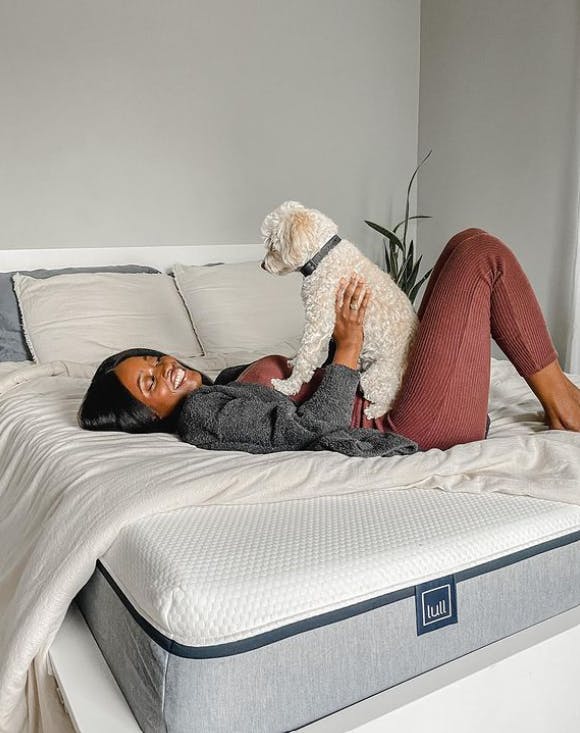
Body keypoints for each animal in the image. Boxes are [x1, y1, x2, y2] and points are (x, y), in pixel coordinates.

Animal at [260, 200, 420, 420]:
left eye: (272, 245)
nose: (262, 265)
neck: (323, 256)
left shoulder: (319, 322)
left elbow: (306, 356)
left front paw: (288, 386)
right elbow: (307, 353)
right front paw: (296, 361)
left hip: (375, 379)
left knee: (390, 401)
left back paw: (375, 410)